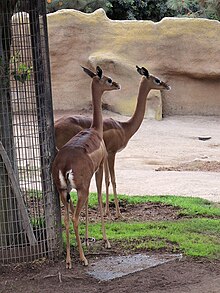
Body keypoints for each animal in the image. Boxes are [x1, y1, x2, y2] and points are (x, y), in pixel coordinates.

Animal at [51, 65, 120, 266]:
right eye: (108, 79)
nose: (117, 84)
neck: (95, 130)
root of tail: (64, 164)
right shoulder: (100, 167)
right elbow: (100, 196)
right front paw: (106, 241)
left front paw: (90, 240)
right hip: (80, 188)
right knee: (74, 218)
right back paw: (83, 259)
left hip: (63, 191)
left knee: (66, 220)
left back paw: (68, 260)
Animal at [54, 65, 170, 218]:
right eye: (156, 79)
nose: (167, 85)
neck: (123, 127)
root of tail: (55, 125)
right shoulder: (112, 153)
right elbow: (112, 180)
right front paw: (117, 213)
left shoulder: (105, 156)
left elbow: (106, 180)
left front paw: (107, 211)